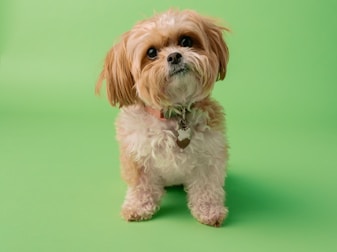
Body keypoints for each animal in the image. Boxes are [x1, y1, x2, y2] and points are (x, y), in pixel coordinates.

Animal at [96, 9, 230, 226]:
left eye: (186, 41)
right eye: (151, 53)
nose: (174, 56)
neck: (174, 113)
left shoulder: (208, 157)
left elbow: (207, 187)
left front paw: (209, 210)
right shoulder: (137, 157)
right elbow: (141, 186)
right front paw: (138, 207)